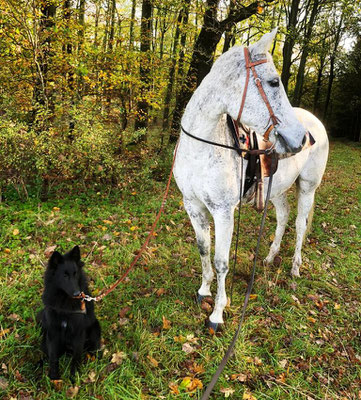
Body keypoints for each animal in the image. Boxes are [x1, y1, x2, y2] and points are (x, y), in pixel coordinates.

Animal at [37, 245, 100, 380]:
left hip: (94, 331)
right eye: (65, 276)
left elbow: (76, 356)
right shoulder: (53, 332)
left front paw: (74, 375)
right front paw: (54, 376)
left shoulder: (78, 332)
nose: (77, 293)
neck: (65, 302)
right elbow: (53, 356)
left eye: (75, 274)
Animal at [173, 28, 328, 332]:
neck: (202, 147)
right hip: (276, 191)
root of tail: (314, 123)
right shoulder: (193, 206)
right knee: (283, 217)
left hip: (308, 188)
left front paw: (217, 313)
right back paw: (268, 257)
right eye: (273, 81)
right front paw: (203, 290)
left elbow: (221, 261)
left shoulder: (223, 213)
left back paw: (294, 268)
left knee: (300, 224)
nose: (300, 138)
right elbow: (203, 248)